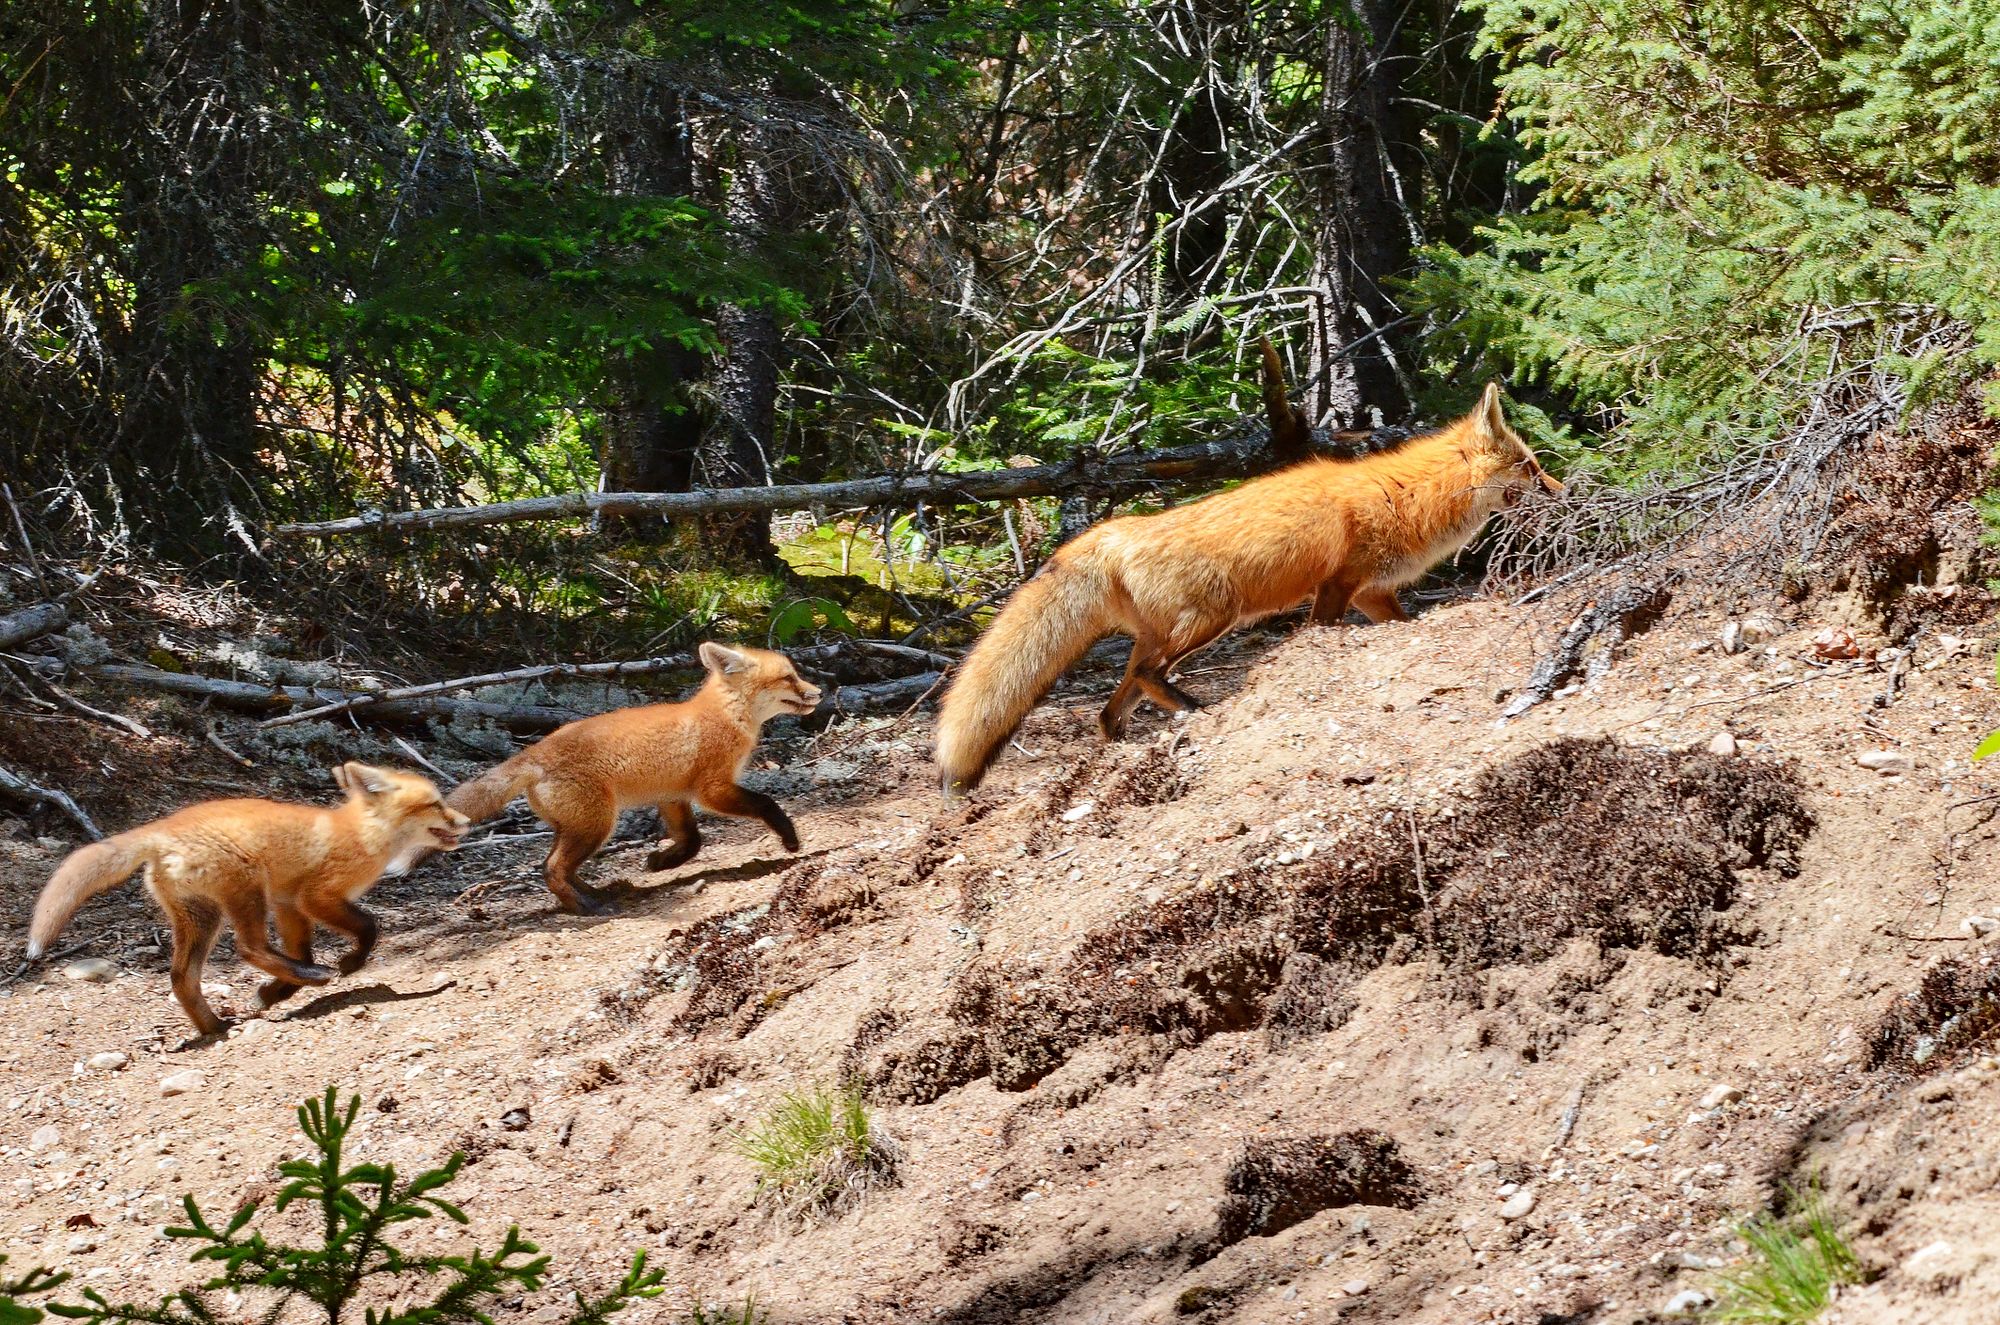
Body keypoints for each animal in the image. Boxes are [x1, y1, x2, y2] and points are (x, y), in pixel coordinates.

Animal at [28, 768, 468, 1040]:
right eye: (435, 803)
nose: (465, 821)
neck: (362, 835)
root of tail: (162, 829)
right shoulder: (314, 896)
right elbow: (369, 928)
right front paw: (347, 964)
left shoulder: (289, 903)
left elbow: (301, 948)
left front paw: (277, 993)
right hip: (246, 893)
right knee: (249, 948)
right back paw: (313, 976)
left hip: (203, 917)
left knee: (182, 977)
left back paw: (213, 1027)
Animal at [448, 640, 820, 912]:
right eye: (789, 678)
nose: (818, 692)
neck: (724, 717)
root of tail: (535, 752)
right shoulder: (711, 789)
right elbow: (767, 803)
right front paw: (789, 838)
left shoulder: (673, 795)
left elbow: (692, 841)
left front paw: (662, 861)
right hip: (597, 825)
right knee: (551, 869)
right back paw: (584, 907)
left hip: (578, 827)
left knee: (553, 866)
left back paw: (598, 892)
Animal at [936, 348, 1560, 792]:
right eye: (1531, 467)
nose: (1564, 490)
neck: (1407, 495)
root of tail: (1113, 532)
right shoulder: (1338, 586)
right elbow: (1322, 630)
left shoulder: (1372, 594)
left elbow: (1398, 626)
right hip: (1213, 619)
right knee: (1147, 679)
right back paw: (1198, 713)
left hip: (1165, 636)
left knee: (1108, 712)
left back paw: (1125, 752)